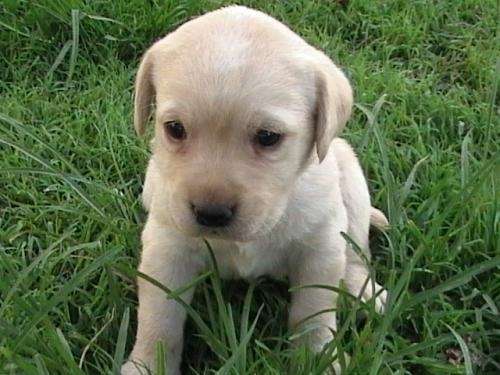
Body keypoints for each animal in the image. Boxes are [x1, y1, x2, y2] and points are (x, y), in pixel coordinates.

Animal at [123, 5, 388, 375]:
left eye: (267, 137)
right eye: (174, 129)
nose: (211, 213)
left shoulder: (320, 250)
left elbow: (314, 313)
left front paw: (317, 358)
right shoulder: (166, 249)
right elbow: (159, 318)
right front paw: (148, 364)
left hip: (351, 180)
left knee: (355, 250)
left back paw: (363, 292)